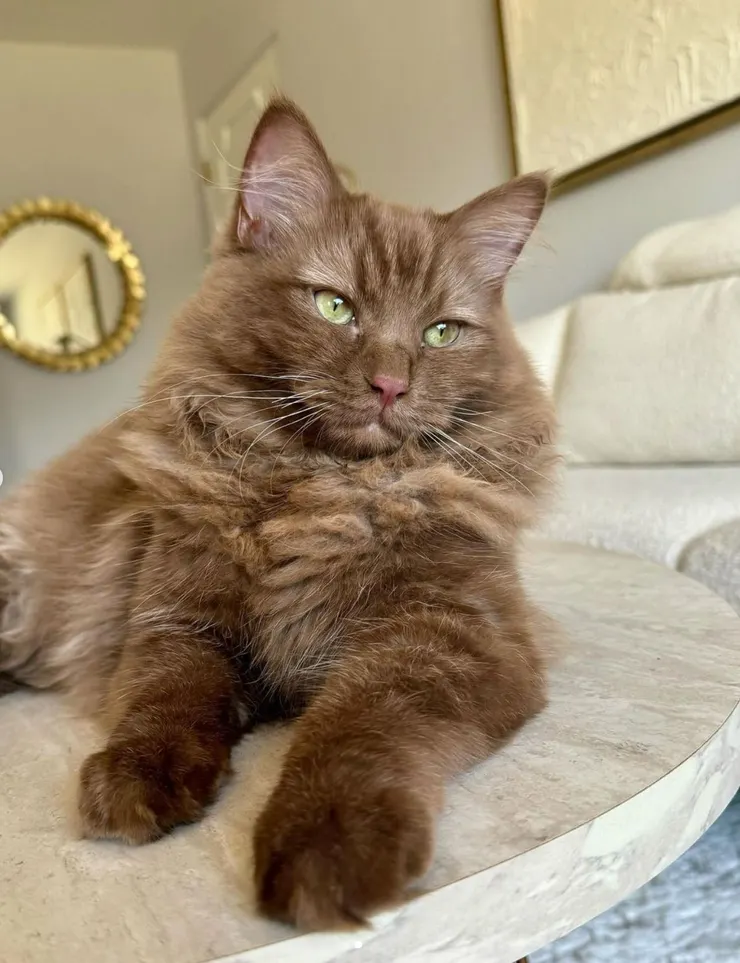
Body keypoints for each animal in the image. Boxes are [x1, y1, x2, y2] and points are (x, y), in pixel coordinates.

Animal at [0, 100, 556, 932]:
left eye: (441, 332)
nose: (391, 384)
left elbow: (359, 726)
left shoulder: (449, 633)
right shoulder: (176, 618)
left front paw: (328, 844)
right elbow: (166, 699)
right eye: (334, 305)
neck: (324, 492)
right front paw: (137, 778)